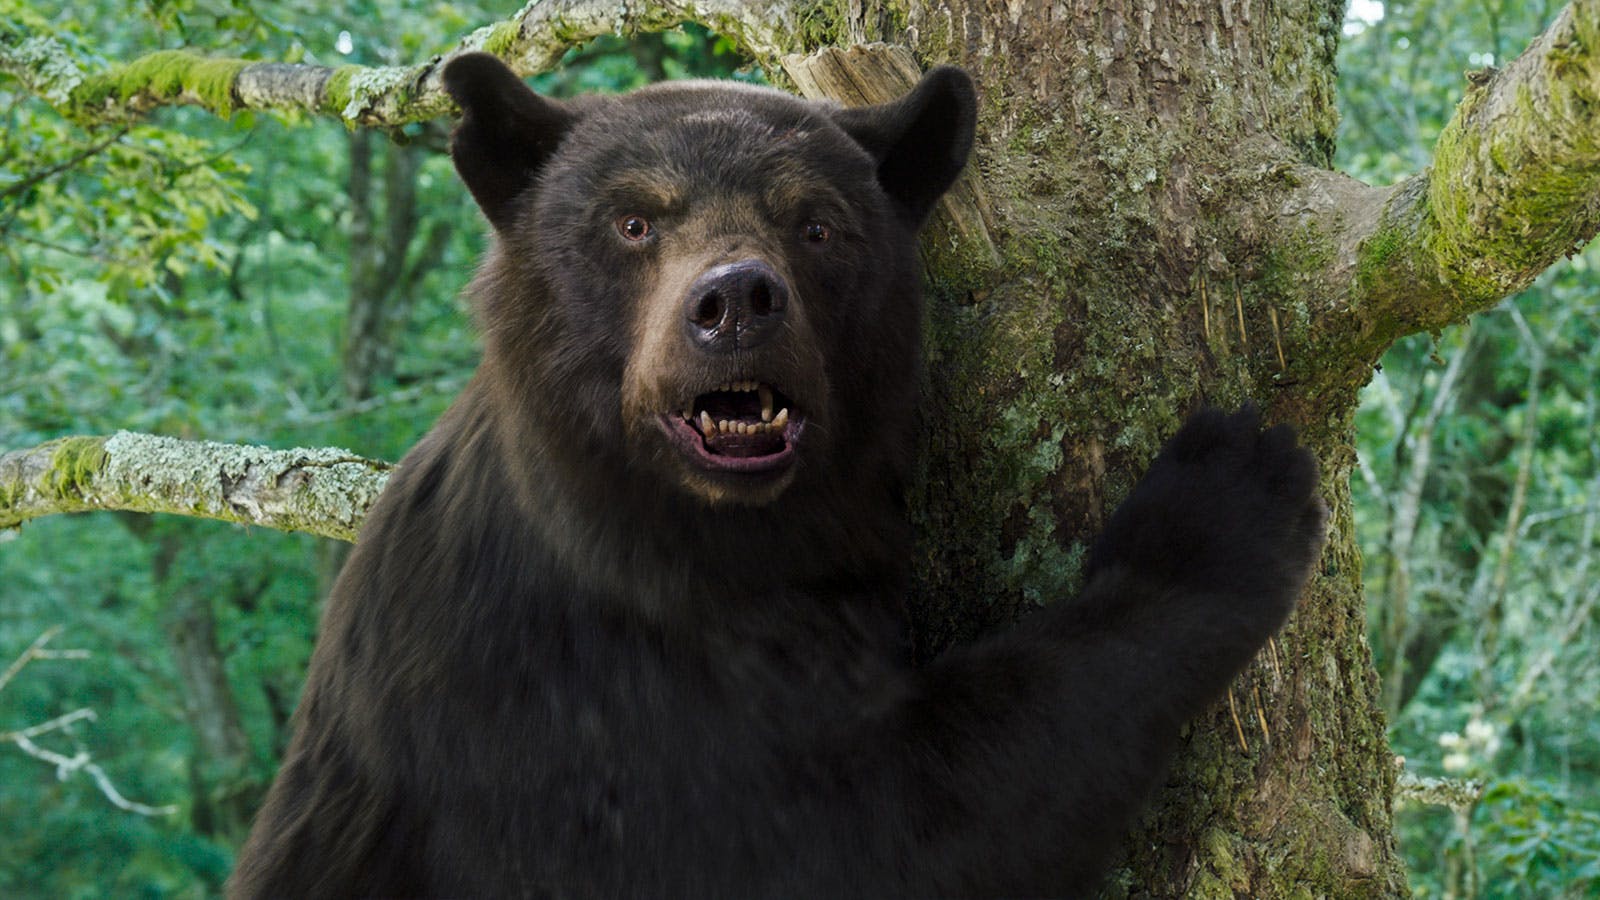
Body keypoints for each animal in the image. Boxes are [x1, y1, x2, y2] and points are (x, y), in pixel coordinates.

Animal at [227, 53, 1326, 898]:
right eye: (633, 222)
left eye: (817, 223)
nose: (736, 302)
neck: (698, 540)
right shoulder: (569, 708)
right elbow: (873, 829)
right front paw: (1220, 502)